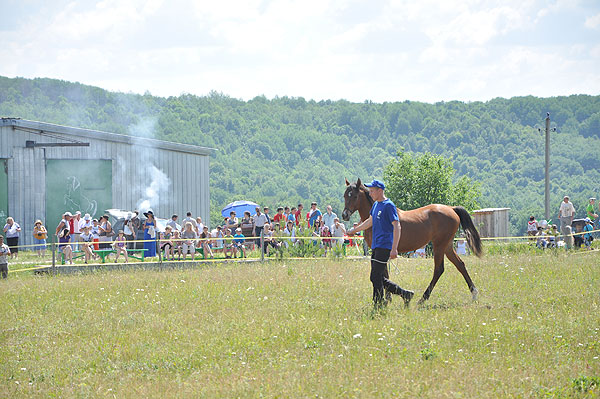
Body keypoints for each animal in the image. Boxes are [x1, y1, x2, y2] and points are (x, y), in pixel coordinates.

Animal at [342, 178, 482, 304]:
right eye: (345, 195)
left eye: (354, 196)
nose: (344, 215)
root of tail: (451, 209)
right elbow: (385, 274)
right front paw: (388, 297)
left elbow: (384, 273)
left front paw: (387, 298)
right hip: (447, 246)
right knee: (460, 265)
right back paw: (474, 293)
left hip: (439, 245)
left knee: (439, 269)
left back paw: (423, 299)